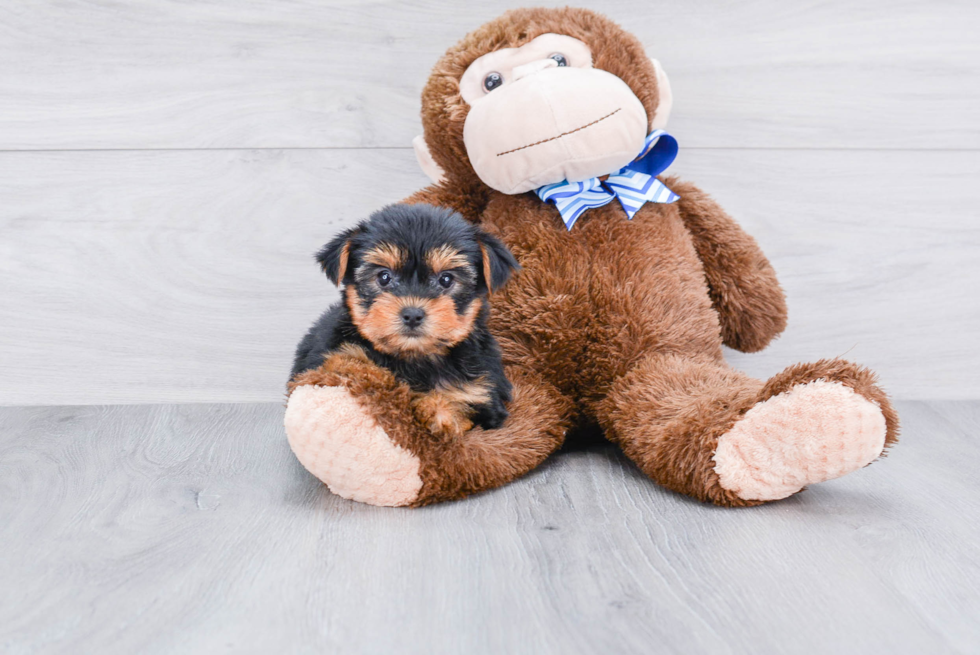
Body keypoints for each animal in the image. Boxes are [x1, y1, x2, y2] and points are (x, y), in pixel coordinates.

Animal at [290, 204, 520, 436]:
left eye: (446, 279)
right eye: (384, 277)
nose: (412, 314)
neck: (413, 357)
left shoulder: (483, 394)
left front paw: (439, 412)